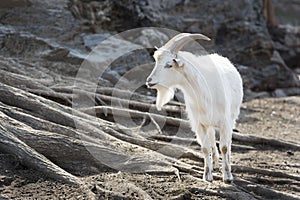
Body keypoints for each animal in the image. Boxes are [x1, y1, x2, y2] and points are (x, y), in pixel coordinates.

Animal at [146, 32, 243, 183]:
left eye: (169, 65)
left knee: (228, 142)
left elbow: (224, 147)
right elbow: (205, 148)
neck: (202, 90)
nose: (149, 81)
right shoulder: (199, 123)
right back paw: (215, 163)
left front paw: (227, 177)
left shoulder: (225, 122)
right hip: (208, 123)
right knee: (211, 138)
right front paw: (207, 175)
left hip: (231, 116)